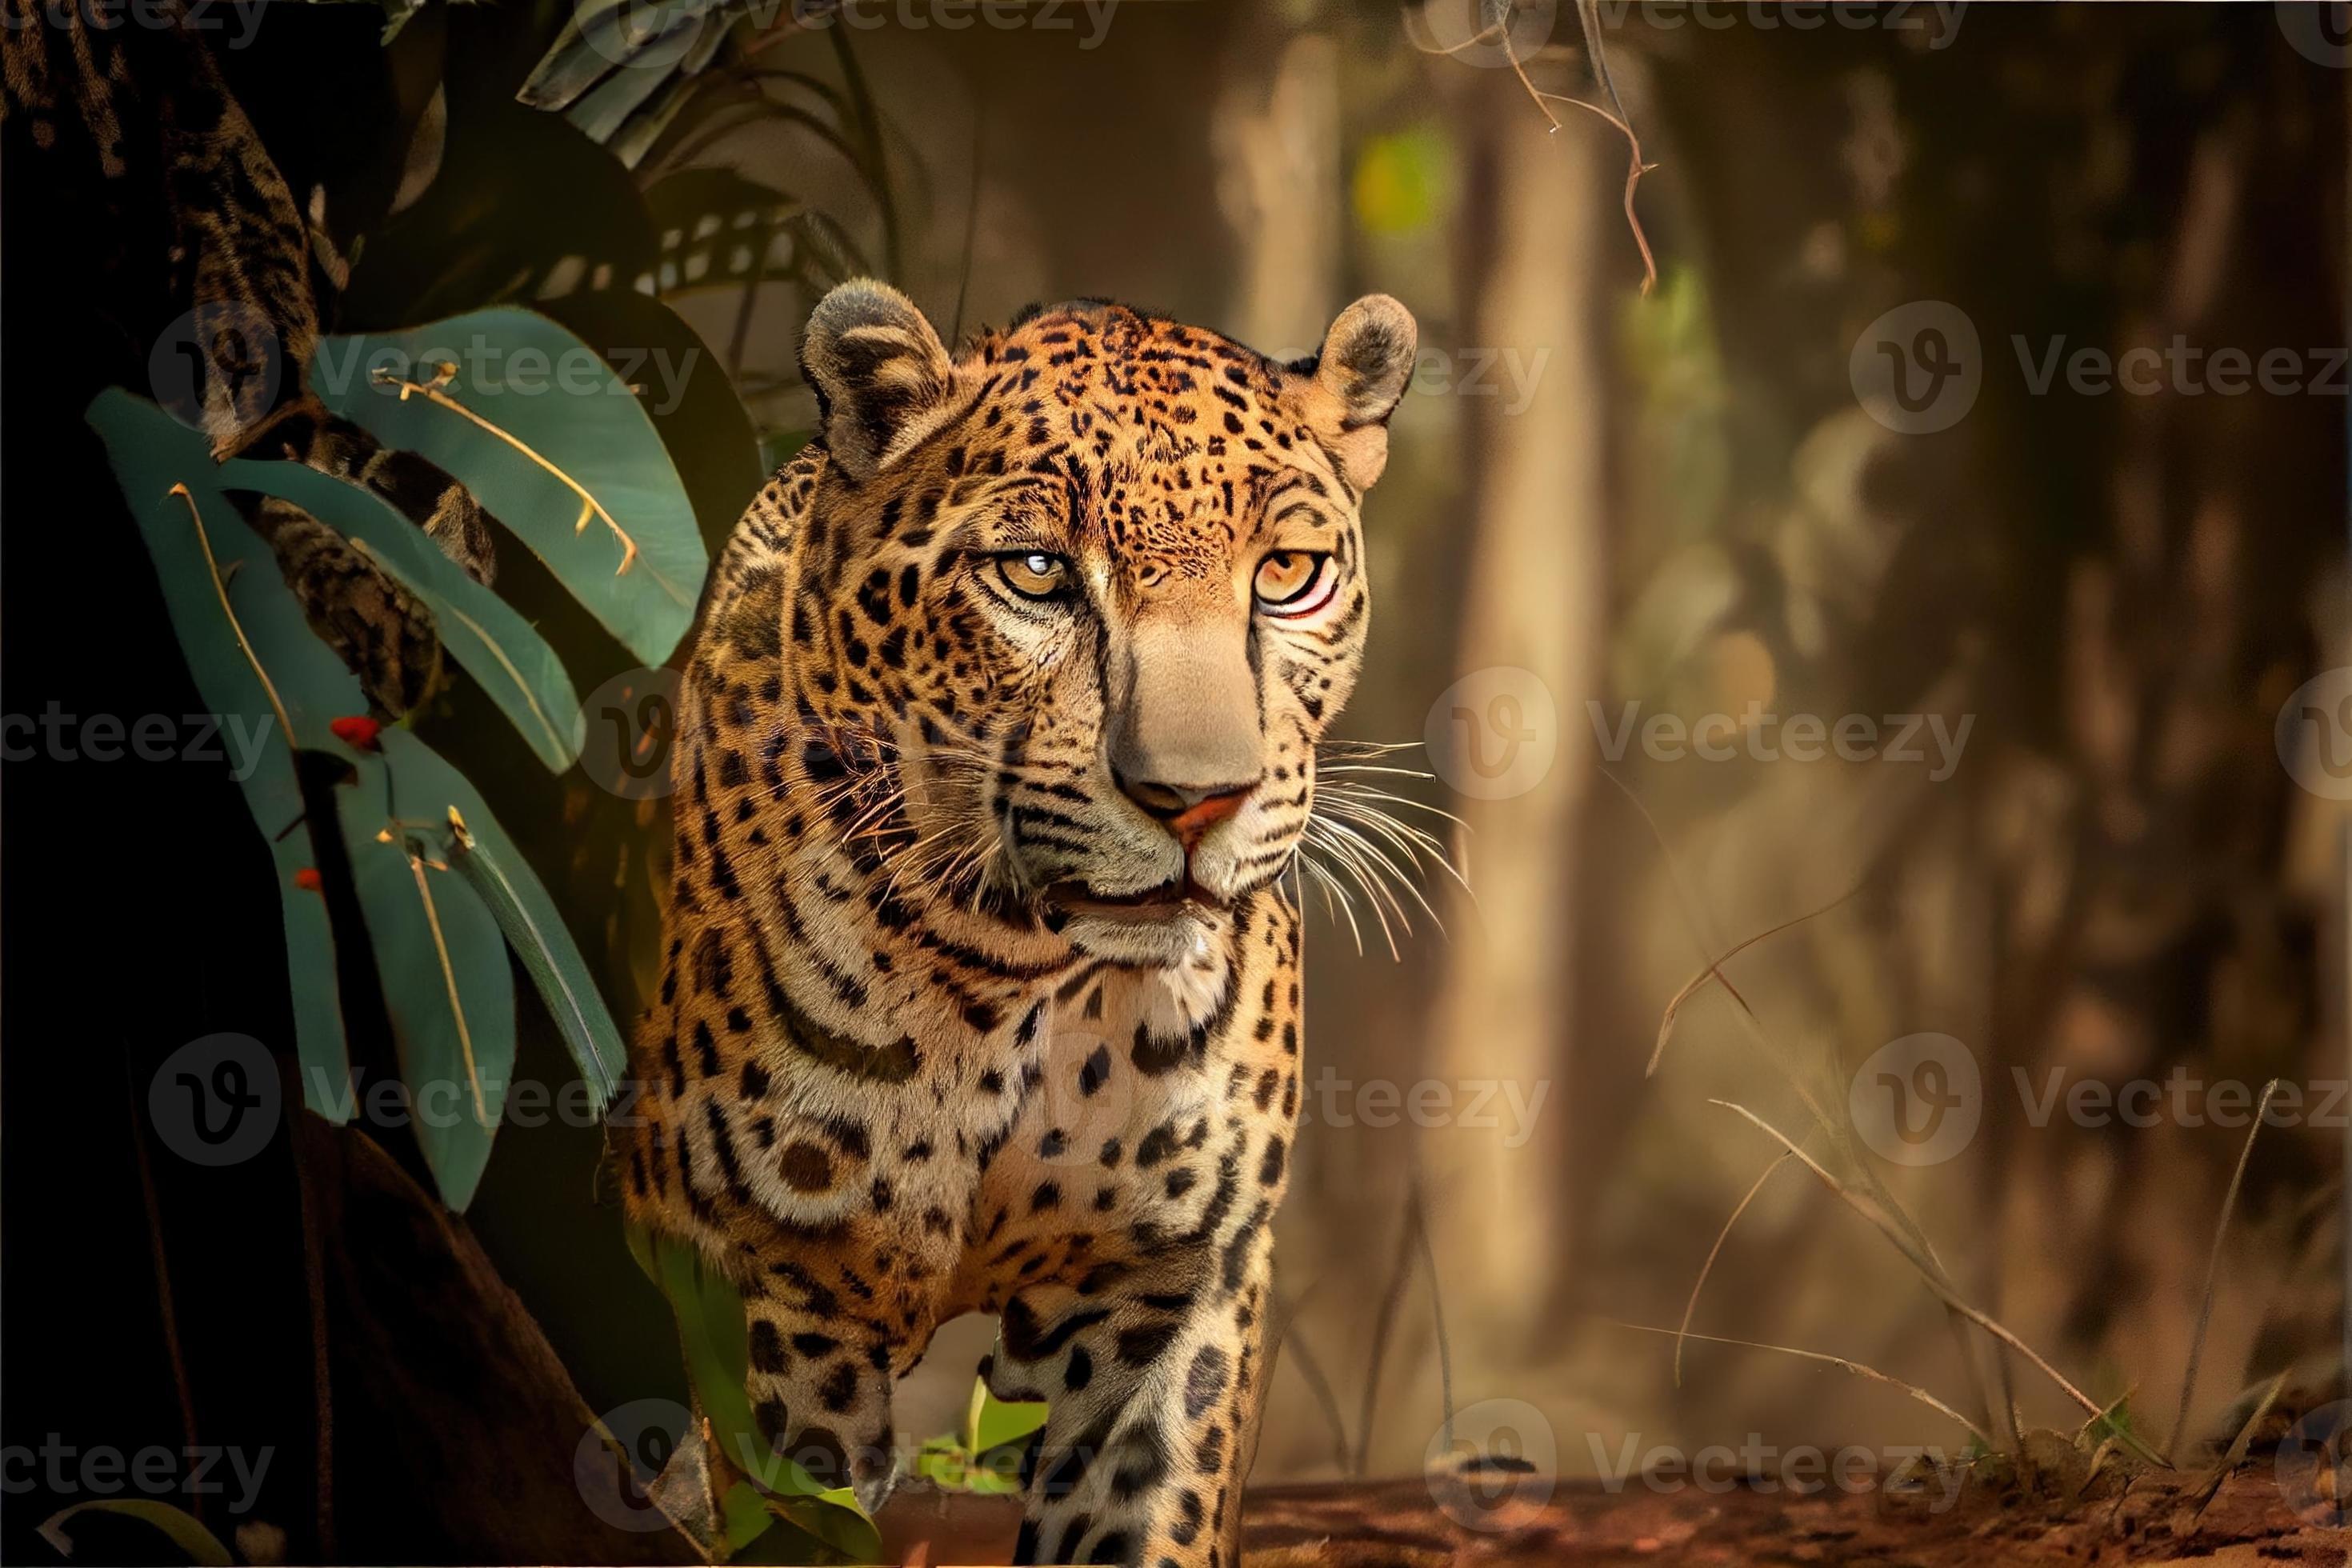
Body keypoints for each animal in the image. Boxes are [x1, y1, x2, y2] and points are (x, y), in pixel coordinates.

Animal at [620, 277, 1417, 1567]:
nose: (1195, 797)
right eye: (1038, 572)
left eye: (1288, 572)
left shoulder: (1177, 1288)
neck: (1022, 977)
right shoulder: (769, 1292)